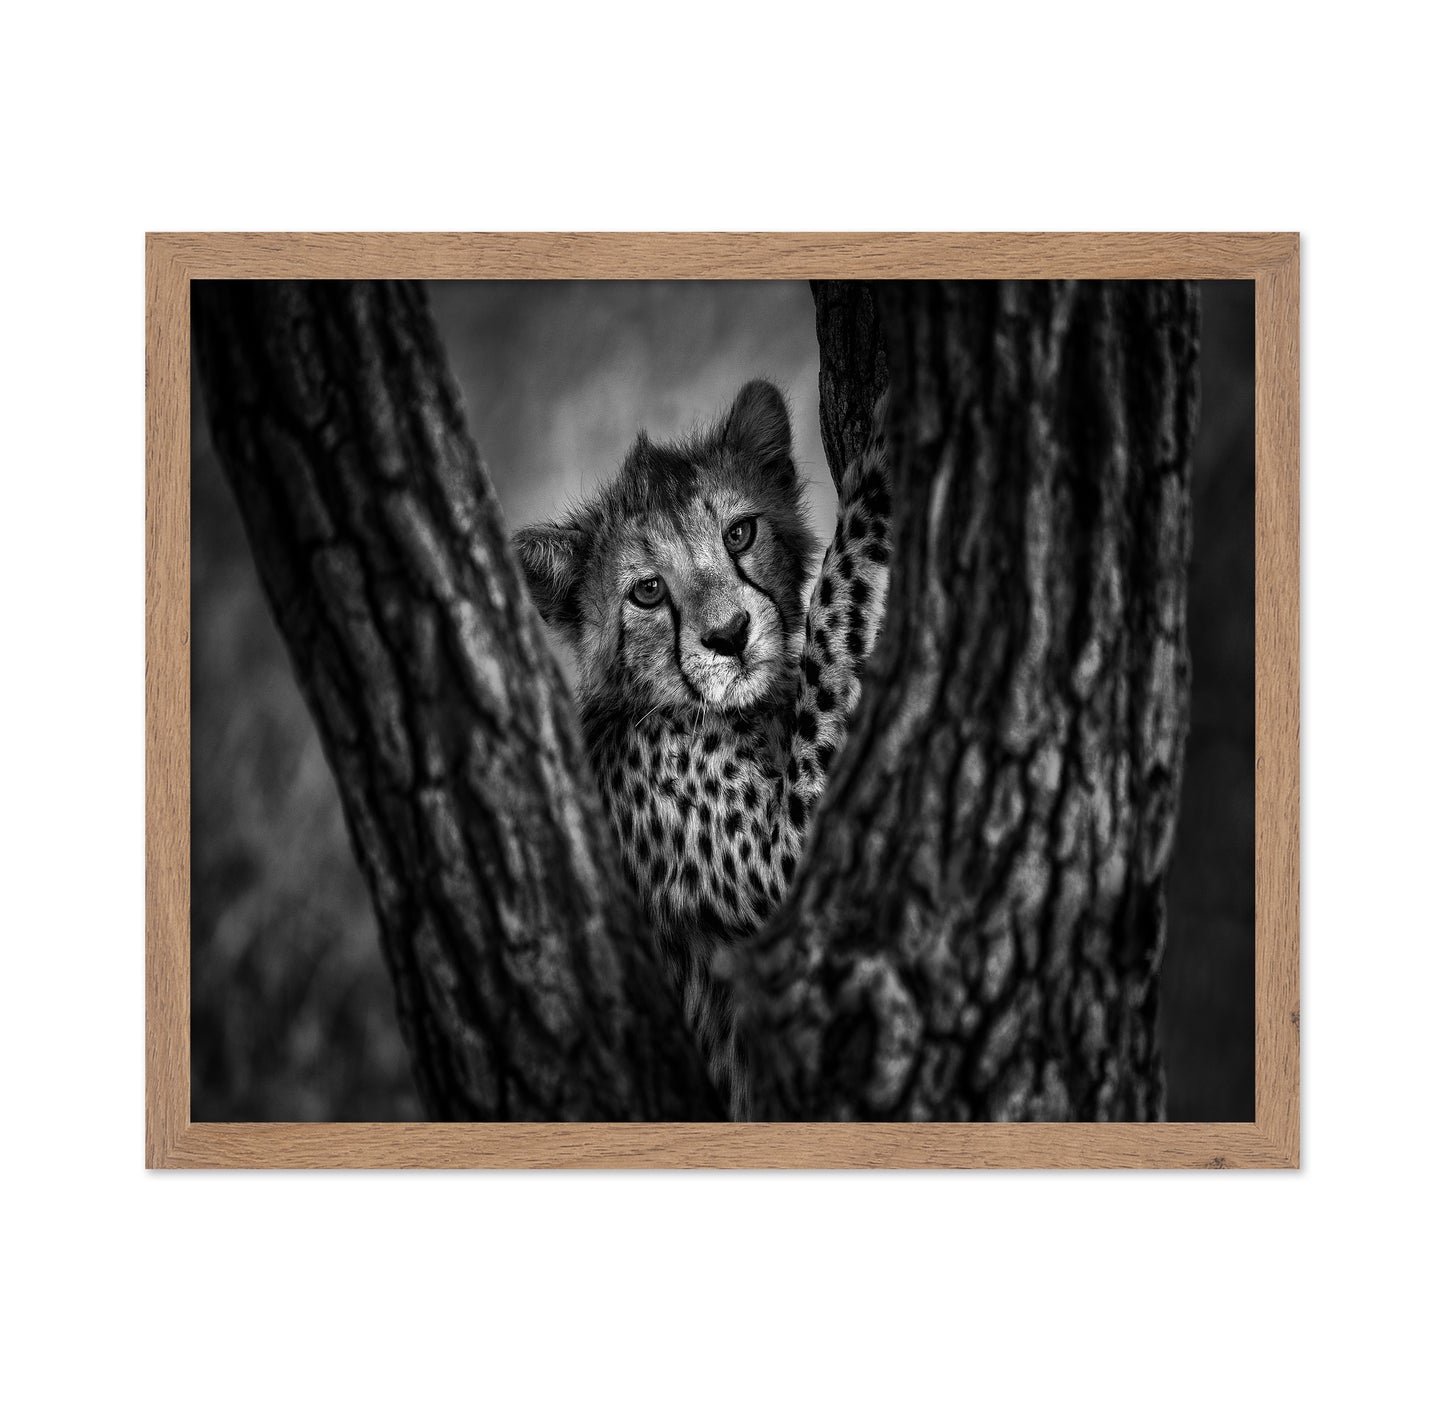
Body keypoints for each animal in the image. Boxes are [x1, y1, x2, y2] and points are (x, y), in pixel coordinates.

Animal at [513, 379, 891, 1118]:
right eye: (647, 590)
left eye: (739, 533)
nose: (729, 634)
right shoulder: (789, 876)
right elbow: (836, 613)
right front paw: (879, 478)